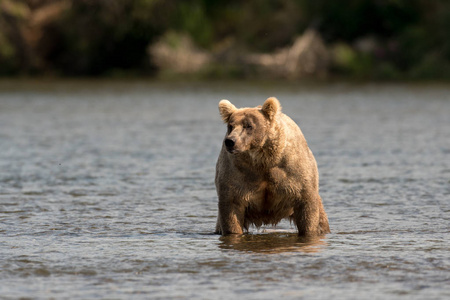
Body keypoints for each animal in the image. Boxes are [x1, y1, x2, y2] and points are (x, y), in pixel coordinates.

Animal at [214, 96, 330, 237]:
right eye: (230, 126)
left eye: (248, 125)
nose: (231, 141)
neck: (263, 160)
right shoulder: (238, 174)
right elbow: (231, 210)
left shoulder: (292, 172)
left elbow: (307, 207)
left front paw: (309, 231)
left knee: (322, 220)